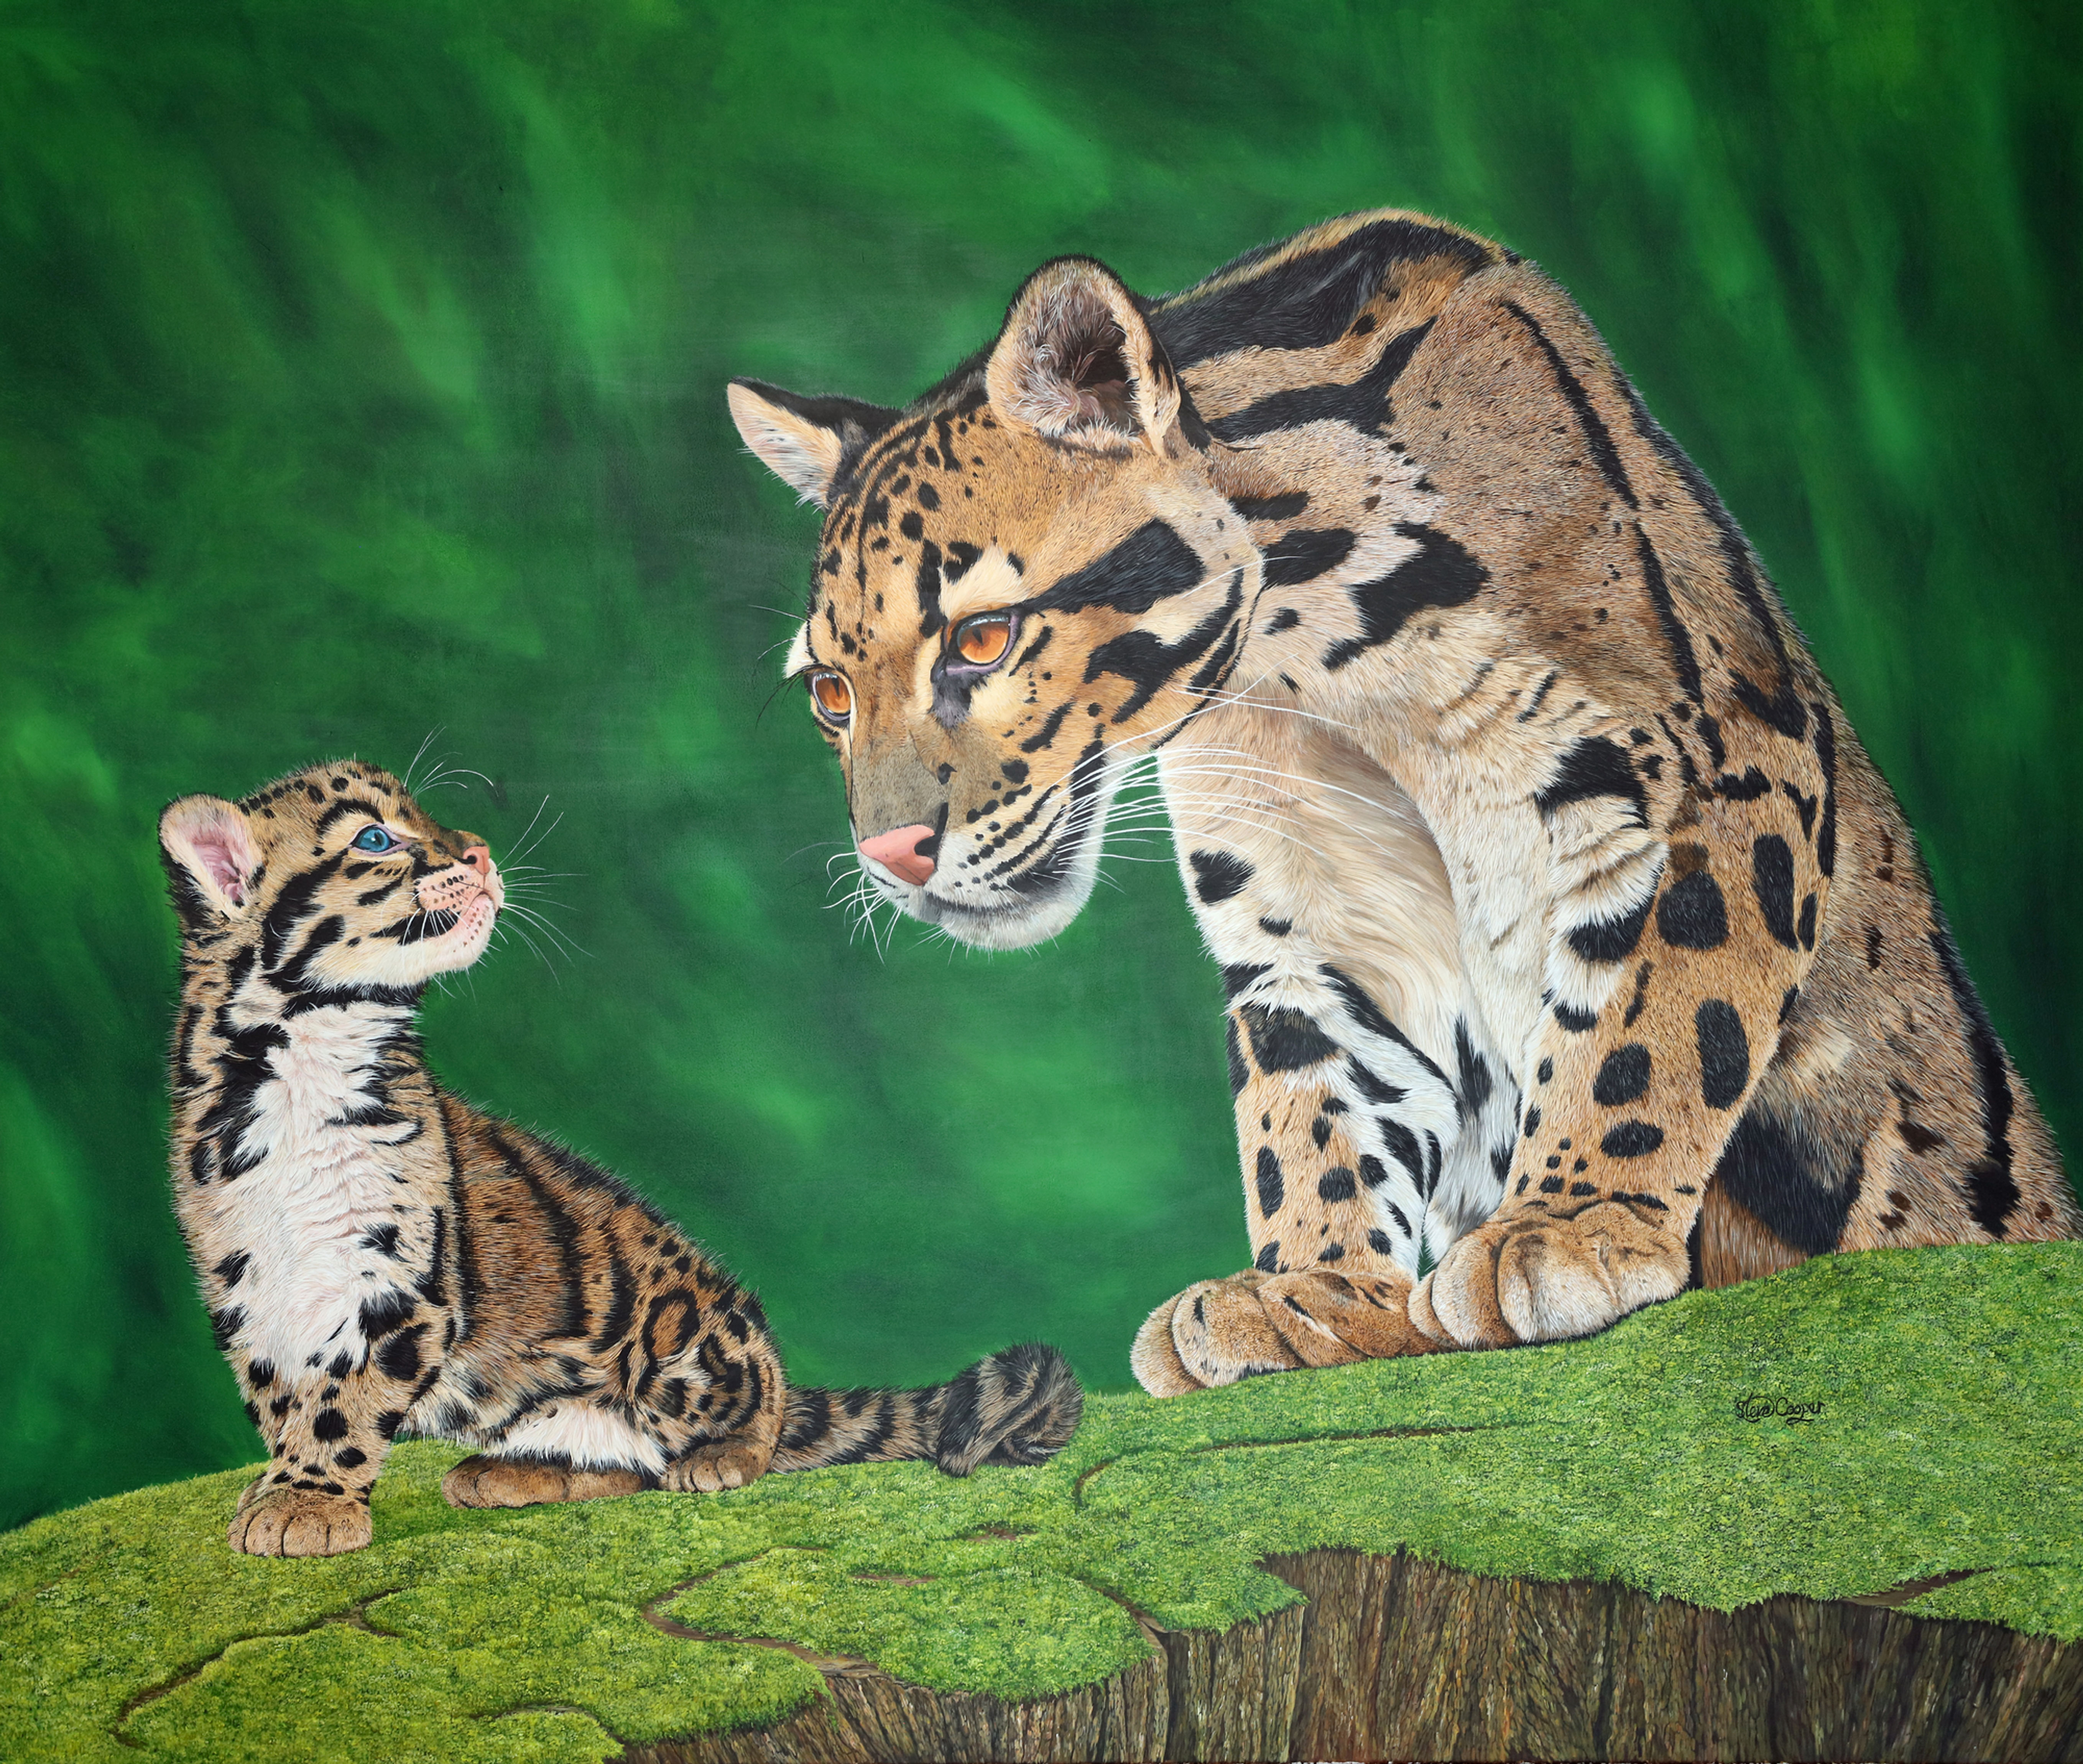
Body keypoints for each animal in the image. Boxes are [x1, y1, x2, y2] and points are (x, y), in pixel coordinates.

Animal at [159, 760, 1081, 1555]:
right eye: (377, 839)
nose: (480, 851)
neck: (303, 1056)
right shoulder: (246, 1283)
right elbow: (285, 1399)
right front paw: (284, 1486)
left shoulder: (402, 1285)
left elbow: (343, 1404)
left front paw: (309, 1500)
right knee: (627, 1467)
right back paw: (517, 1470)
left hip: (692, 1344)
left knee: (754, 1401)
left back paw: (720, 1456)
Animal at [726, 207, 2080, 1396]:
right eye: (830, 694)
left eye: (982, 638)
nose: (892, 853)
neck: (1320, 668)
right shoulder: (1304, 914)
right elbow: (1310, 1106)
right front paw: (1311, 1292)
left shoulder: (1710, 775)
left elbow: (1658, 1017)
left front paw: (1570, 1222)